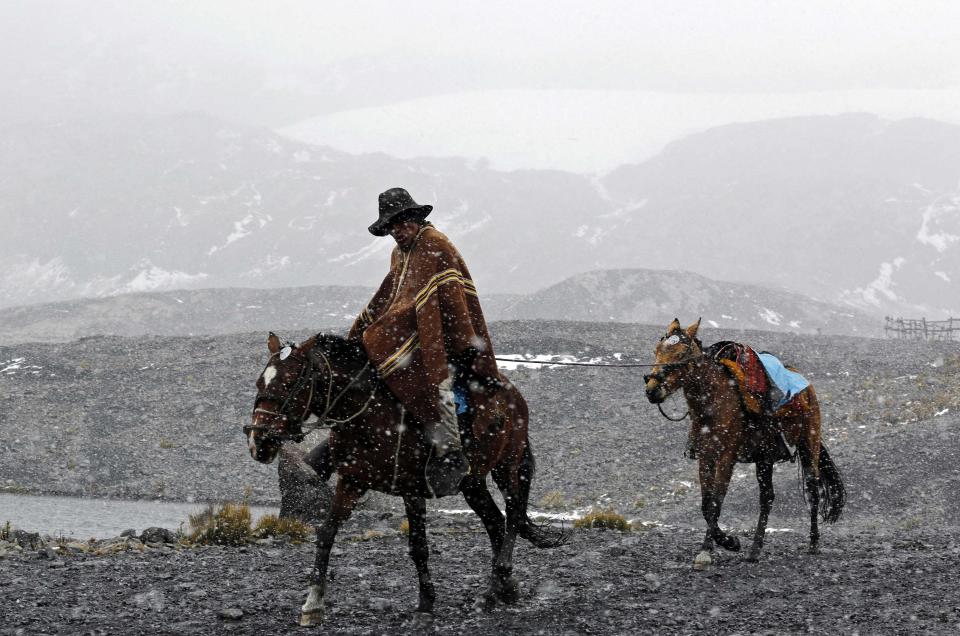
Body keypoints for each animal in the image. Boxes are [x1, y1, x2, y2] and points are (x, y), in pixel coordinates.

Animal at [244, 332, 568, 628]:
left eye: (289, 383)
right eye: (260, 383)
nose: (258, 442)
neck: (369, 416)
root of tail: (512, 391)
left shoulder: (412, 489)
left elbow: (418, 545)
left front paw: (425, 603)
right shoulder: (351, 482)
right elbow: (325, 534)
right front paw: (312, 604)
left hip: (507, 465)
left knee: (512, 515)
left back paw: (495, 586)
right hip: (472, 482)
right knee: (495, 522)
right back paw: (501, 588)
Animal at [644, 318, 840, 568]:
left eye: (681, 353)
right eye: (657, 351)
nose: (652, 390)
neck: (713, 402)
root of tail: (806, 386)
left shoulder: (727, 458)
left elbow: (716, 503)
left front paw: (724, 544)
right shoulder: (706, 457)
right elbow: (706, 504)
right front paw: (712, 546)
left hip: (808, 446)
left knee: (813, 491)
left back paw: (813, 542)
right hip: (764, 458)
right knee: (767, 497)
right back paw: (755, 549)